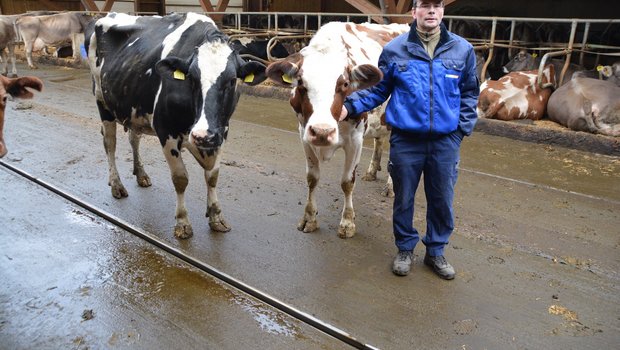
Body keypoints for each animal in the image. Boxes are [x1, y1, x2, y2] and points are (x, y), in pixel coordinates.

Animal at [85, 12, 266, 239]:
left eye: (232, 80)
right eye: (192, 79)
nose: (202, 135)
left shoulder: (221, 131)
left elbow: (212, 176)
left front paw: (216, 216)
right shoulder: (166, 131)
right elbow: (180, 178)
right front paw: (182, 222)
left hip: (135, 110)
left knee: (134, 138)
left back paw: (141, 174)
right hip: (102, 102)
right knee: (110, 144)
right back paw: (117, 185)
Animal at [266, 21, 406, 239]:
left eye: (345, 84)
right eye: (301, 83)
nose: (322, 131)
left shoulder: (355, 140)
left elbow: (347, 182)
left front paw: (347, 222)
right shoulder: (304, 135)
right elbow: (312, 178)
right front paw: (309, 219)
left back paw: (391, 186)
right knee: (379, 140)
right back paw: (372, 171)